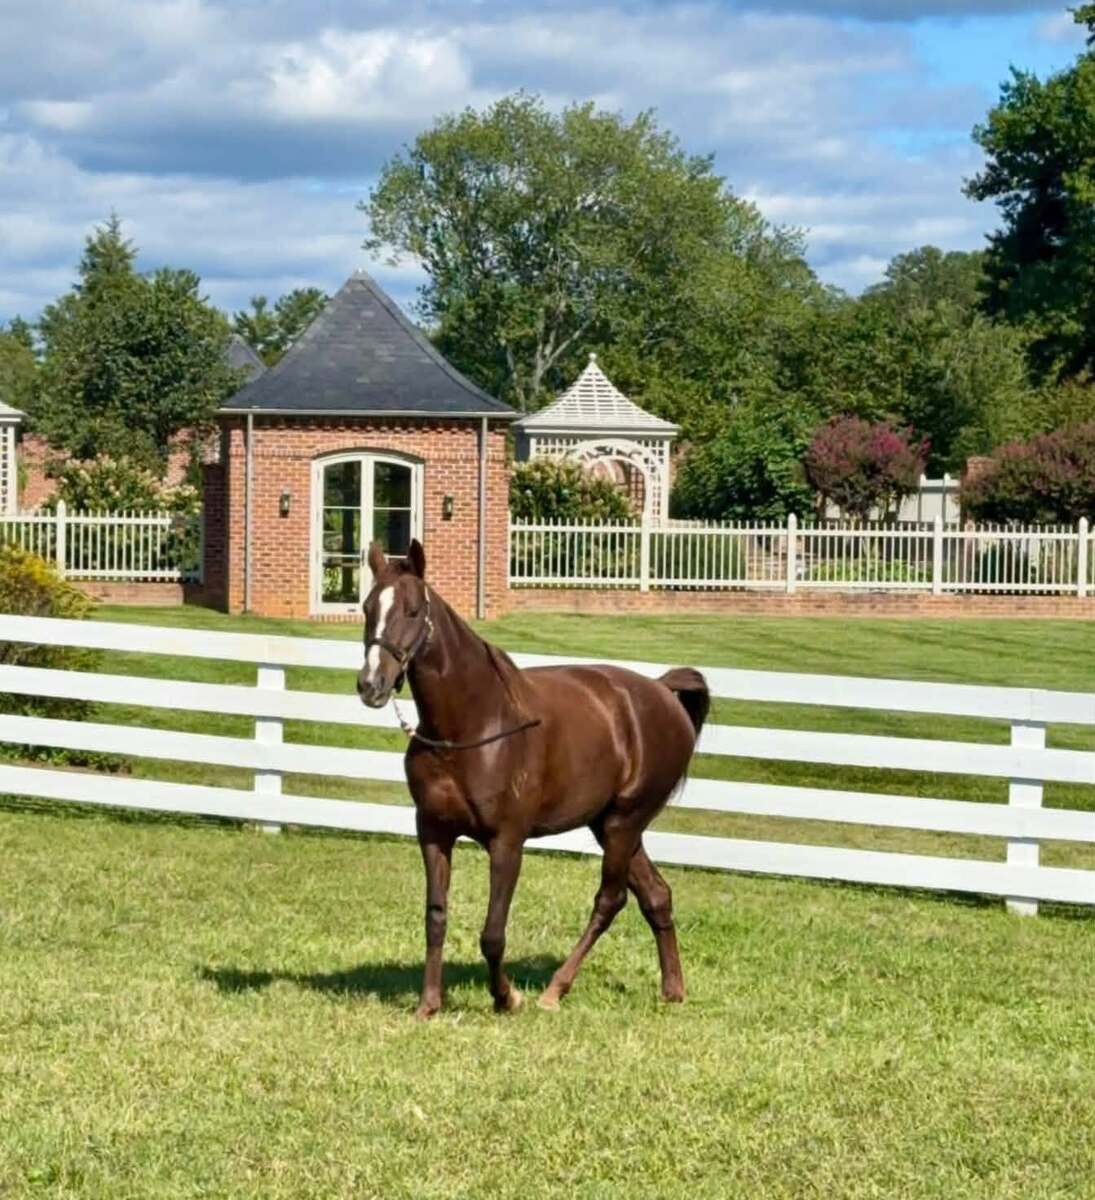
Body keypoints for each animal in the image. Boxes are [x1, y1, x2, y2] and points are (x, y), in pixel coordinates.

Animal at [356, 540, 709, 1018]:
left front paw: (507, 997)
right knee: (656, 895)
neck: (472, 726)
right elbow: (435, 917)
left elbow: (492, 933)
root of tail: (662, 692)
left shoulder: (507, 841)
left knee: (610, 900)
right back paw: (673, 989)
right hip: (608, 824)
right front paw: (428, 1005)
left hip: (625, 822)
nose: (371, 684)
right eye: (367, 607)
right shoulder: (433, 831)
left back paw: (554, 990)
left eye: (412, 610)